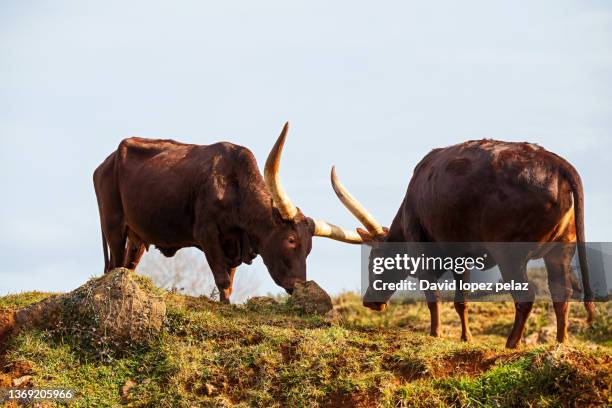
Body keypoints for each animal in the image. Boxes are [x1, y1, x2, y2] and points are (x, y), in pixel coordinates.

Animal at [91, 123, 358, 302]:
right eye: (291, 240)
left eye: (309, 248)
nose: (298, 285)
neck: (235, 186)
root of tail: (106, 162)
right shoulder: (207, 235)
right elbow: (222, 279)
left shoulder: (233, 246)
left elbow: (228, 283)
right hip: (113, 226)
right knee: (114, 266)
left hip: (137, 237)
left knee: (127, 266)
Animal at [332, 139, 596, 348]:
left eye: (374, 261)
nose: (369, 301)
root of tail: (556, 162)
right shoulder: (462, 256)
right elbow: (461, 300)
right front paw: (465, 337)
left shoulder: (421, 251)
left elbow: (433, 297)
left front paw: (435, 335)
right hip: (561, 249)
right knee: (561, 293)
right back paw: (562, 342)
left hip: (510, 254)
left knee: (526, 296)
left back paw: (511, 344)